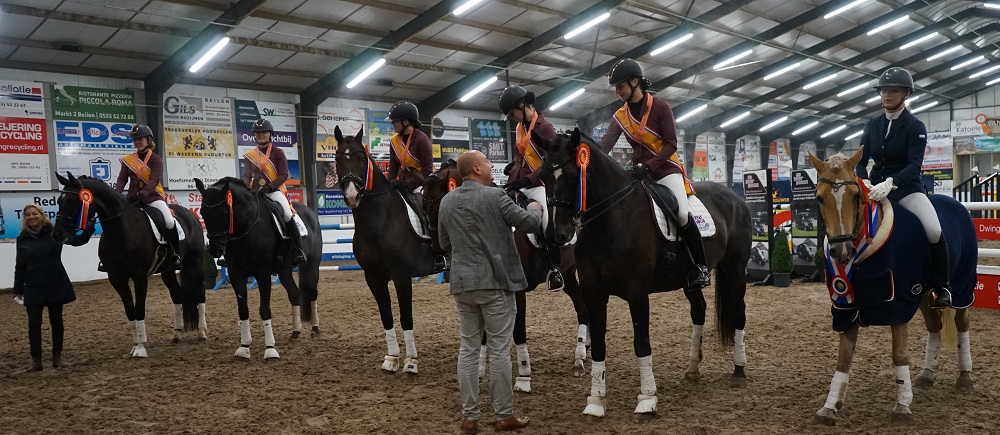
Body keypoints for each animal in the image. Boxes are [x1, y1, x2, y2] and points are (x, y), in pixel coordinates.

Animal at [52, 173, 207, 358]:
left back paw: (202, 332)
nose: (57, 234)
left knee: (200, 294)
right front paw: (136, 344)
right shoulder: (116, 277)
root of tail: (191, 215)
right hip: (168, 270)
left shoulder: (139, 276)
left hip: (195, 263)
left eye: (73, 201)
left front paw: (141, 348)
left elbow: (139, 308)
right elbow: (130, 310)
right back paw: (176, 334)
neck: (121, 229)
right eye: (59, 201)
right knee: (177, 295)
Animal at [193, 177, 322, 362]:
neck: (247, 226)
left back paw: (315, 329)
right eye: (203, 213)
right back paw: (296, 332)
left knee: (311, 293)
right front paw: (244, 347)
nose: (215, 250)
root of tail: (309, 212)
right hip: (284, 271)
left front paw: (270, 349)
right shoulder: (236, 274)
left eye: (224, 213)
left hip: (312, 264)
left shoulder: (263, 274)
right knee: (294, 294)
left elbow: (264, 310)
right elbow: (243, 310)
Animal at [334, 125, 436, 374]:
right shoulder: (373, 277)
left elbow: (406, 317)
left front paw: (411, 362)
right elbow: (386, 316)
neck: (379, 222)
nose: (352, 196)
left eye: (362, 158)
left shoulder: (401, 276)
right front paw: (391, 358)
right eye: (337, 158)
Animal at [540, 127, 752, 418]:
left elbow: (641, 343)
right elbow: (599, 345)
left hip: (735, 269)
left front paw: (648, 398)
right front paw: (596, 400)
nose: (556, 235)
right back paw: (692, 369)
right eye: (543, 176)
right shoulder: (594, 294)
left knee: (739, 313)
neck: (611, 221)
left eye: (573, 175)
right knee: (699, 311)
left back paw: (739, 370)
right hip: (690, 280)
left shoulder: (637, 294)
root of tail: (735, 197)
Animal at [804, 147, 976, 426]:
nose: (841, 251)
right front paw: (829, 407)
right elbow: (843, 358)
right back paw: (927, 374)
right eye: (820, 198)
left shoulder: (899, 303)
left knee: (962, 324)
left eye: (856, 197)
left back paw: (965, 377)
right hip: (924, 294)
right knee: (934, 326)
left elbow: (899, 354)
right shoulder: (846, 305)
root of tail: (956, 205)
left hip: (961, 286)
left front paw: (902, 405)